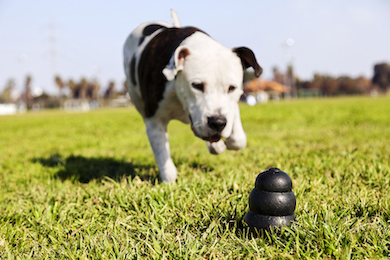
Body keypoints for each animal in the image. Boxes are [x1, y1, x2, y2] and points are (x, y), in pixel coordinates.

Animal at [122, 9, 262, 182]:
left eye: (232, 88)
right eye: (197, 86)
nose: (217, 122)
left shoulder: (229, 107)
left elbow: (239, 139)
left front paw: (226, 142)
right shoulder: (154, 121)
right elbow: (163, 155)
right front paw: (169, 180)